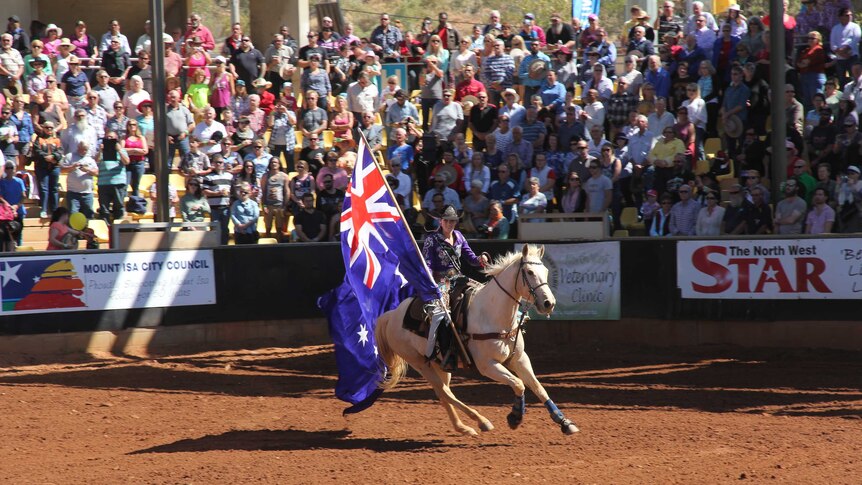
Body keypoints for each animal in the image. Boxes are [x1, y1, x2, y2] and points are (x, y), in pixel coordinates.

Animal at [376, 244, 580, 436]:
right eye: (529, 272)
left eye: (545, 271)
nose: (548, 303)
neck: (493, 314)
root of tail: (392, 315)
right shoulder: (487, 365)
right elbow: (518, 384)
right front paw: (515, 417)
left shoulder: (520, 358)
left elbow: (538, 387)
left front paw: (564, 422)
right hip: (419, 362)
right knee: (445, 392)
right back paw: (482, 421)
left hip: (440, 364)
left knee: (443, 393)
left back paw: (463, 427)